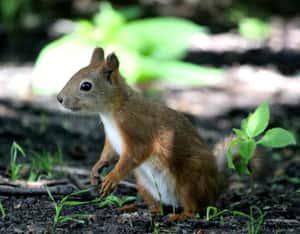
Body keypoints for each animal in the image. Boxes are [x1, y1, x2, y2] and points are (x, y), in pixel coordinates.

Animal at [56, 47, 234, 218]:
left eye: (86, 86)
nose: (59, 98)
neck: (112, 110)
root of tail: (215, 187)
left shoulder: (137, 128)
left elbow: (135, 154)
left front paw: (112, 177)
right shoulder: (112, 140)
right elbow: (108, 153)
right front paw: (96, 168)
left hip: (190, 181)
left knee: (194, 208)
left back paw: (181, 216)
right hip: (144, 185)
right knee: (160, 206)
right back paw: (143, 209)